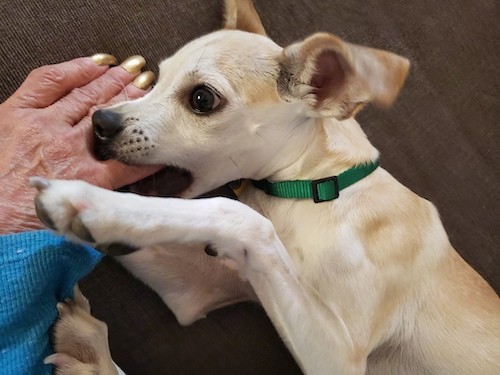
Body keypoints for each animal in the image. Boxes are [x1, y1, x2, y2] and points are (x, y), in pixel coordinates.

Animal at [32, 0, 500, 375]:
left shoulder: (339, 356)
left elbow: (237, 214)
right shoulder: (200, 290)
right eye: (158, 78)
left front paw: (91, 202)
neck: (312, 189)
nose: (100, 123)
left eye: (202, 99)